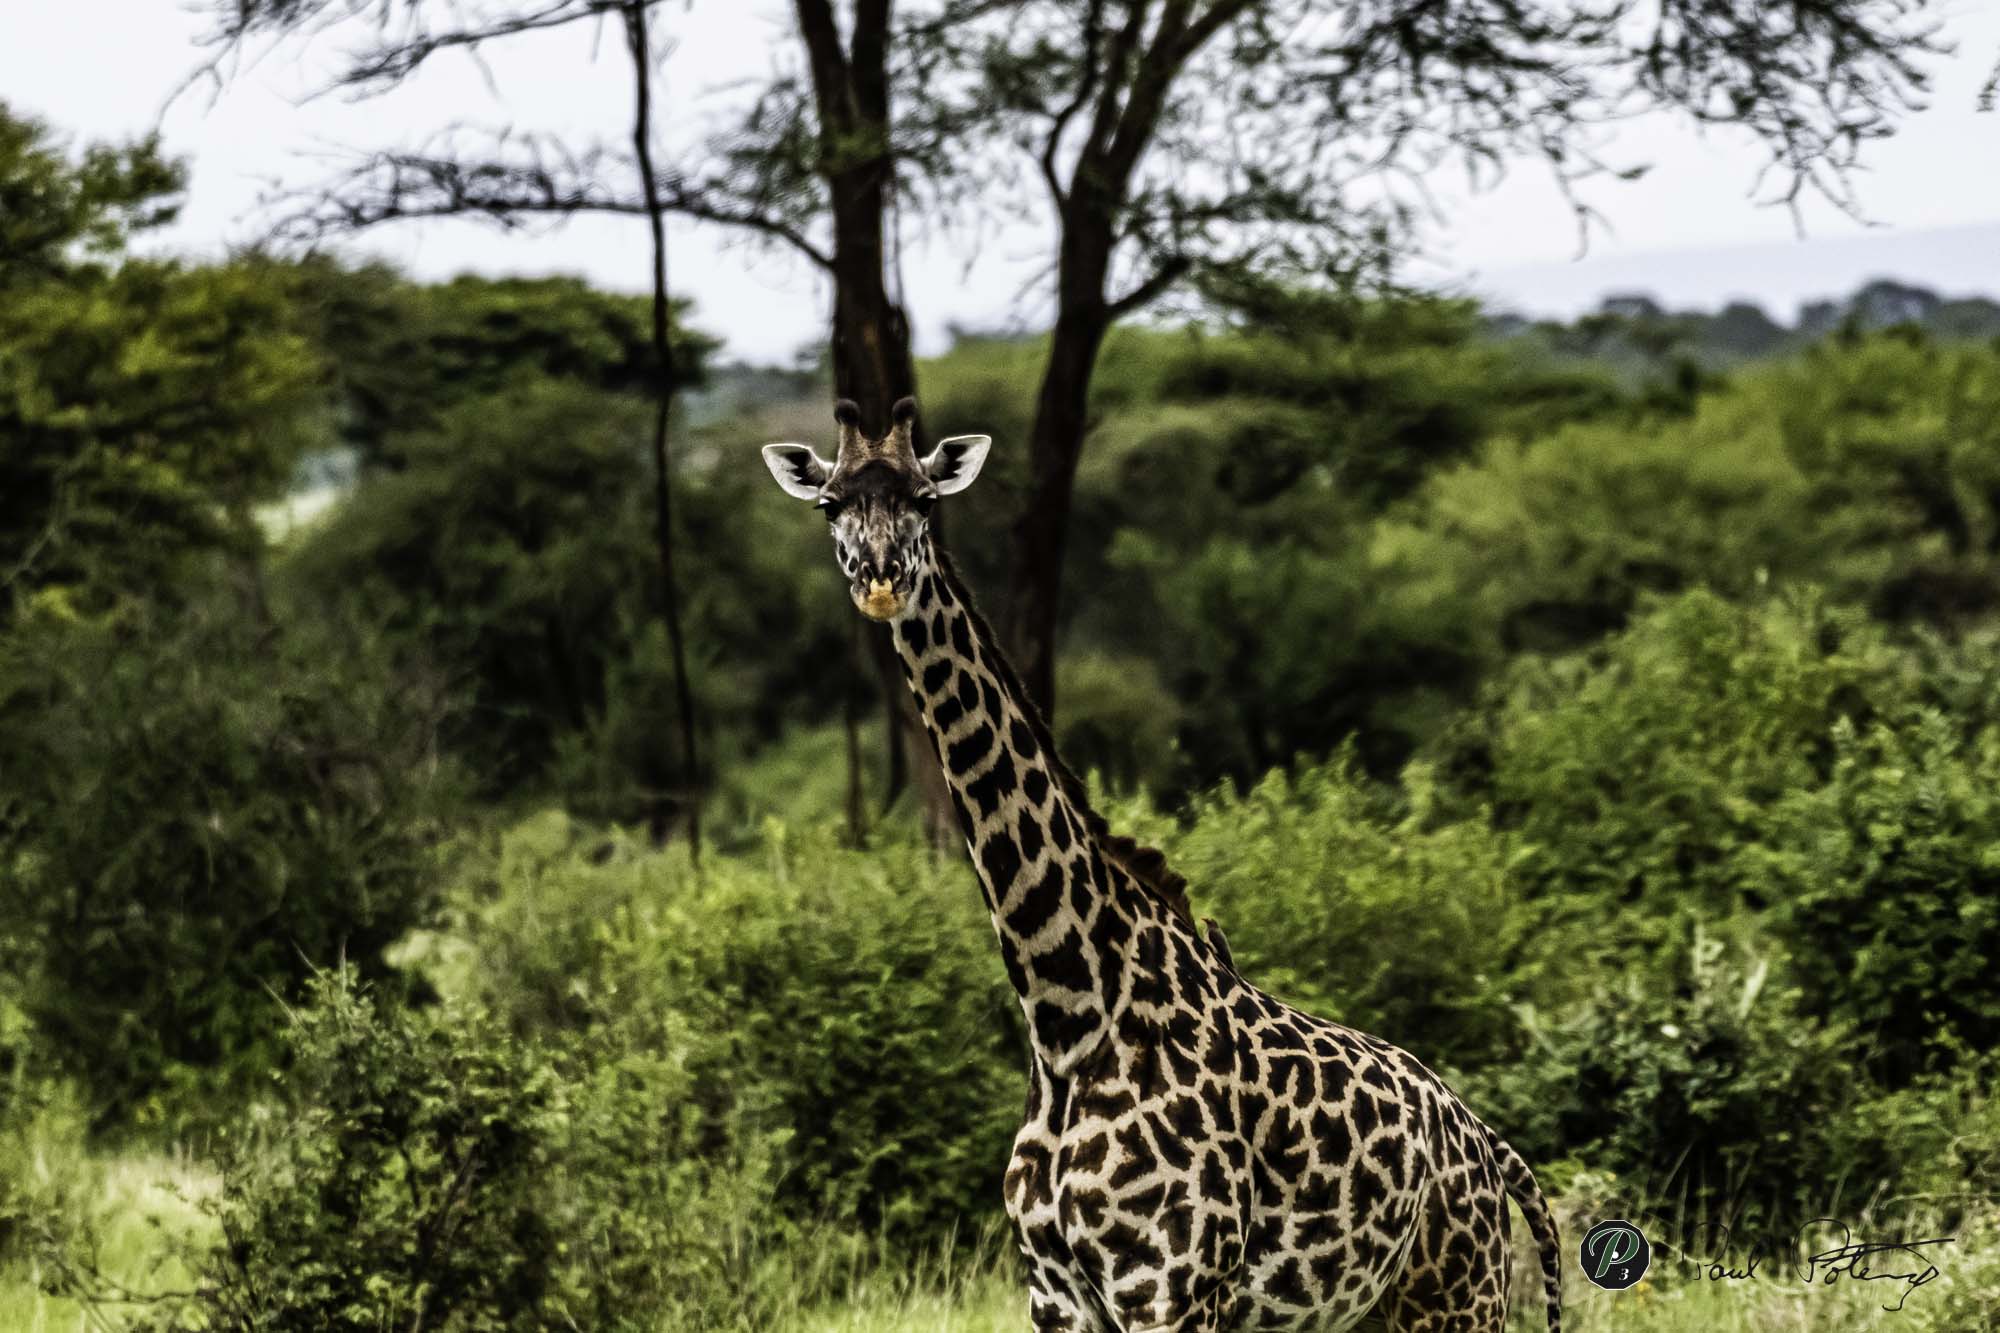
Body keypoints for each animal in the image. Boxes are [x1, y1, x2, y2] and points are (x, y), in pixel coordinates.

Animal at [762, 397, 1563, 1333]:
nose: (882, 579)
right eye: (831, 505)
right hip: (1369, 1310)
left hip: (1456, 1295)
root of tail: (1487, 1143)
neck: (1065, 1012)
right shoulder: (1057, 1296)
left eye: (925, 500)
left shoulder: (1173, 1288)